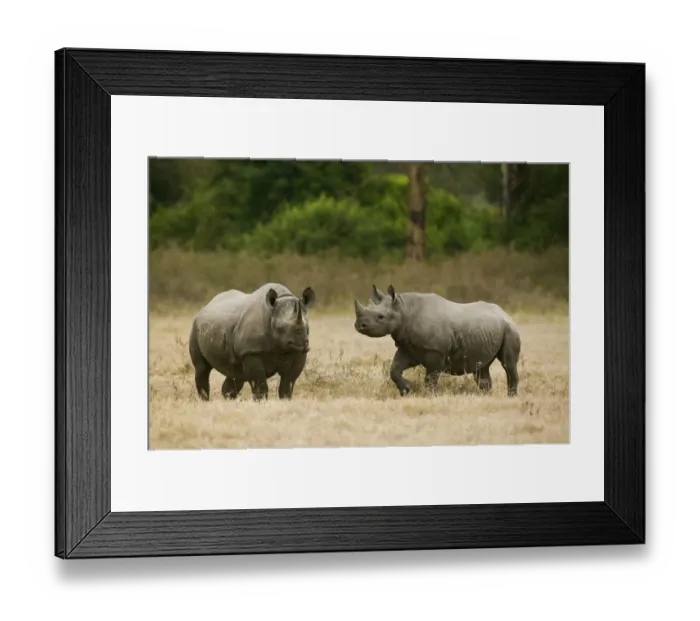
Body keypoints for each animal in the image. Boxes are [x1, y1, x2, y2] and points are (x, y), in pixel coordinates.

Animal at [353, 284, 521, 397]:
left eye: (380, 317)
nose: (359, 325)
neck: (404, 309)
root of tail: (505, 313)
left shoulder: (436, 351)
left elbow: (430, 377)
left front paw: (429, 395)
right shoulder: (408, 347)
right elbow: (394, 369)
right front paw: (406, 389)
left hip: (510, 329)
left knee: (508, 364)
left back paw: (511, 397)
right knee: (481, 368)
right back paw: (485, 396)